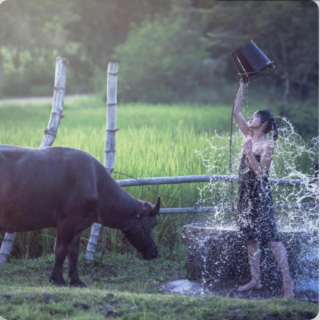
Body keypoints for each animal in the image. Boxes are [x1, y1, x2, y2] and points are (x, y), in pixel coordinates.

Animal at [0, 144, 160, 286]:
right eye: (153, 223)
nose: (155, 252)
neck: (97, 185)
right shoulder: (67, 223)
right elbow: (60, 250)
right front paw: (57, 279)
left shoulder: (79, 226)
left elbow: (74, 253)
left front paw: (76, 280)